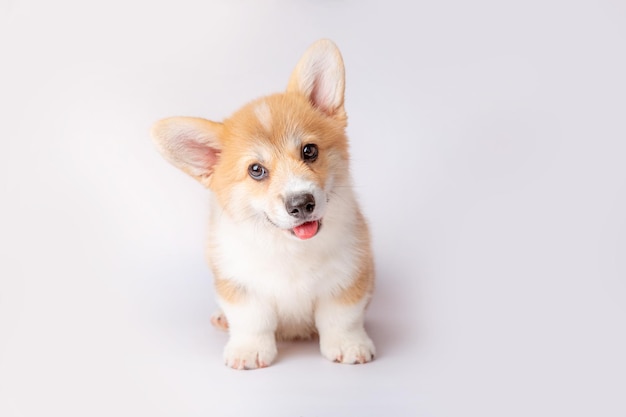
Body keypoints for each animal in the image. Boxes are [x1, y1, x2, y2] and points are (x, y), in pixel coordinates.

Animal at [150, 40, 376, 368]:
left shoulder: (348, 275)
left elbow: (342, 318)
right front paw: (249, 351)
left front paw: (349, 345)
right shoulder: (240, 284)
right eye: (256, 170)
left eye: (309, 151)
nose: (301, 204)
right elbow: (252, 321)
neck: (290, 248)